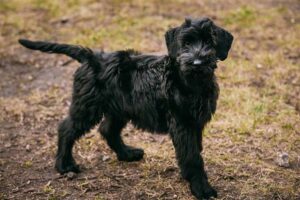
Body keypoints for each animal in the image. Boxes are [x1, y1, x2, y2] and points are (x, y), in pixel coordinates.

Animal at [19, 18, 233, 199]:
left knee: (107, 130)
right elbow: (192, 157)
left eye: (210, 42)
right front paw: (201, 188)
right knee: (66, 128)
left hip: (119, 109)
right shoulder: (183, 123)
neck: (189, 82)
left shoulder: (196, 123)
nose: (197, 63)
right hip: (87, 107)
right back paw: (64, 165)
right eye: (186, 43)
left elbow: (194, 151)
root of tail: (91, 57)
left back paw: (127, 154)